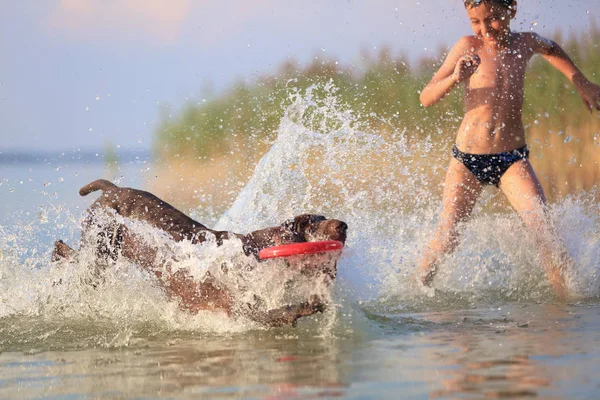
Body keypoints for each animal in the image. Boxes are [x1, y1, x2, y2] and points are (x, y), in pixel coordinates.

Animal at [54, 180, 350, 326]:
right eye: (309, 223)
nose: (343, 225)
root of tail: (112, 190)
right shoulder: (245, 310)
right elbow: (284, 310)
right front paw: (306, 306)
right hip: (97, 255)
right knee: (62, 251)